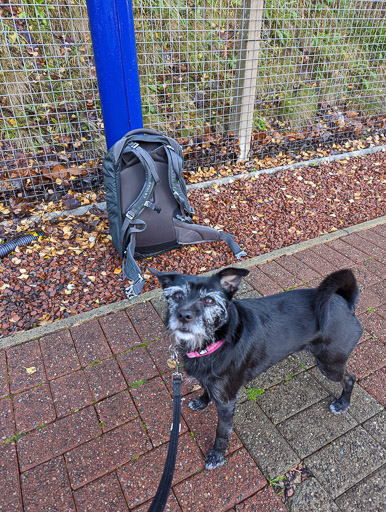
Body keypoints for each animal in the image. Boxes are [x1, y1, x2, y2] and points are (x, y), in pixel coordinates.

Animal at [151, 266, 362, 470]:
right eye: (177, 295)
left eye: (209, 300)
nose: (183, 315)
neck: (215, 342)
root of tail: (345, 303)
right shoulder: (210, 381)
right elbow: (206, 389)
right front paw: (202, 401)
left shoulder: (227, 402)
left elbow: (221, 432)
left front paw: (216, 456)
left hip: (330, 364)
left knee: (350, 378)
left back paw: (343, 404)